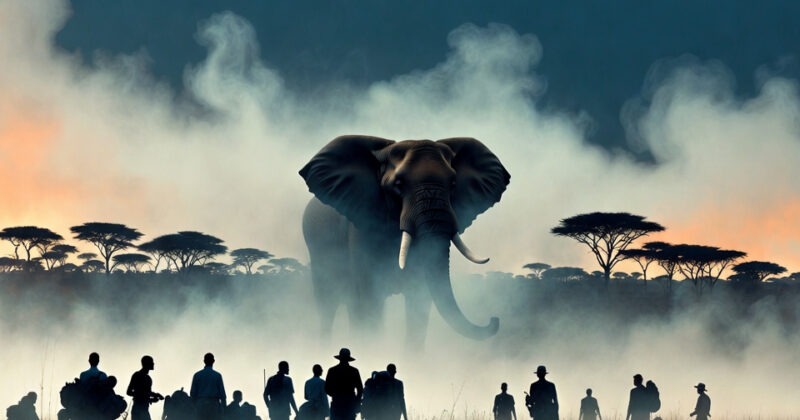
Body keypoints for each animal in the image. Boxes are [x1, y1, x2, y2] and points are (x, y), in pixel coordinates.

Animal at [299, 135, 510, 346]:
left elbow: (419, 301)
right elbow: (368, 297)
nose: (495, 319)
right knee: (330, 305)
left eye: (453, 184)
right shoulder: (362, 226)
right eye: (399, 184)